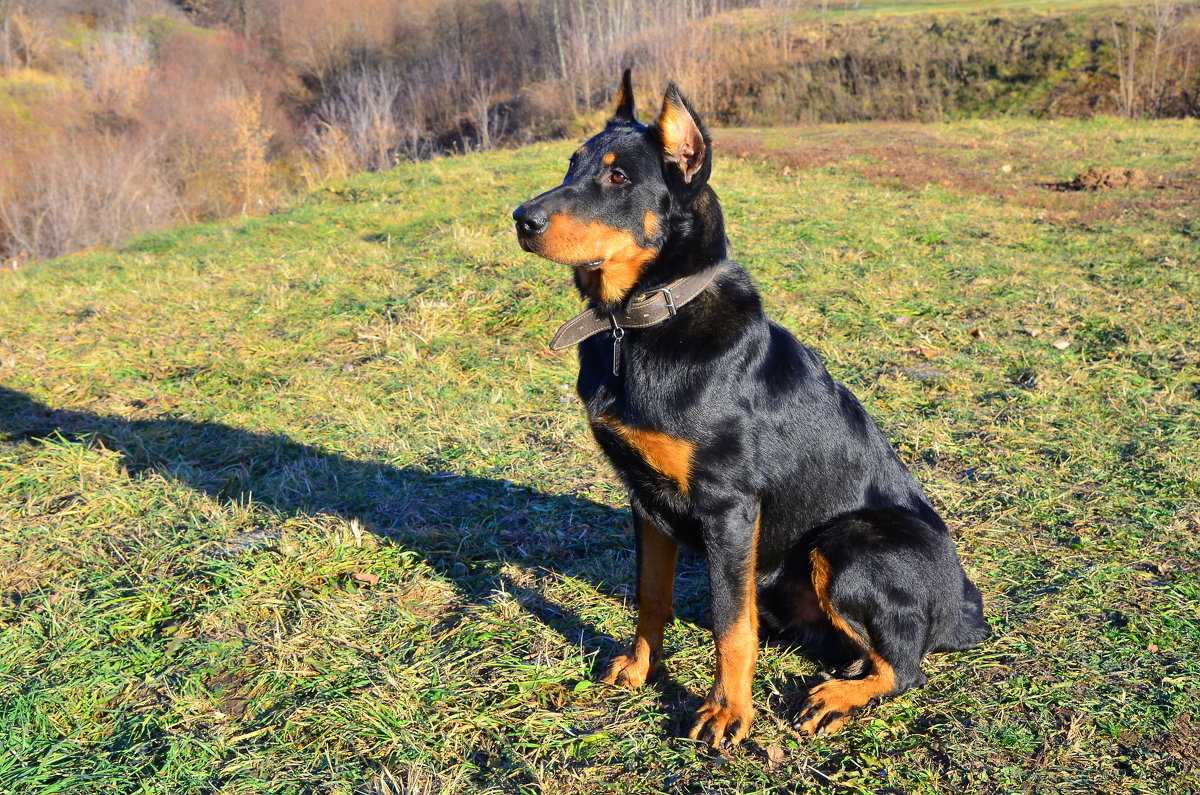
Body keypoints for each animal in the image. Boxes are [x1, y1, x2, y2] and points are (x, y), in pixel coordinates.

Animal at [511, 71, 988, 749]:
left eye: (619, 177)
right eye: (570, 164)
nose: (520, 220)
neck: (640, 326)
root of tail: (962, 612)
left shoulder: (728, 504)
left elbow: (730, 624)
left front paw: (728, 713)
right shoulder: (644, 498)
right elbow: (650, 596)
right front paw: (638, 670)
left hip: (848, 543)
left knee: (904, 667)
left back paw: (836, 698)